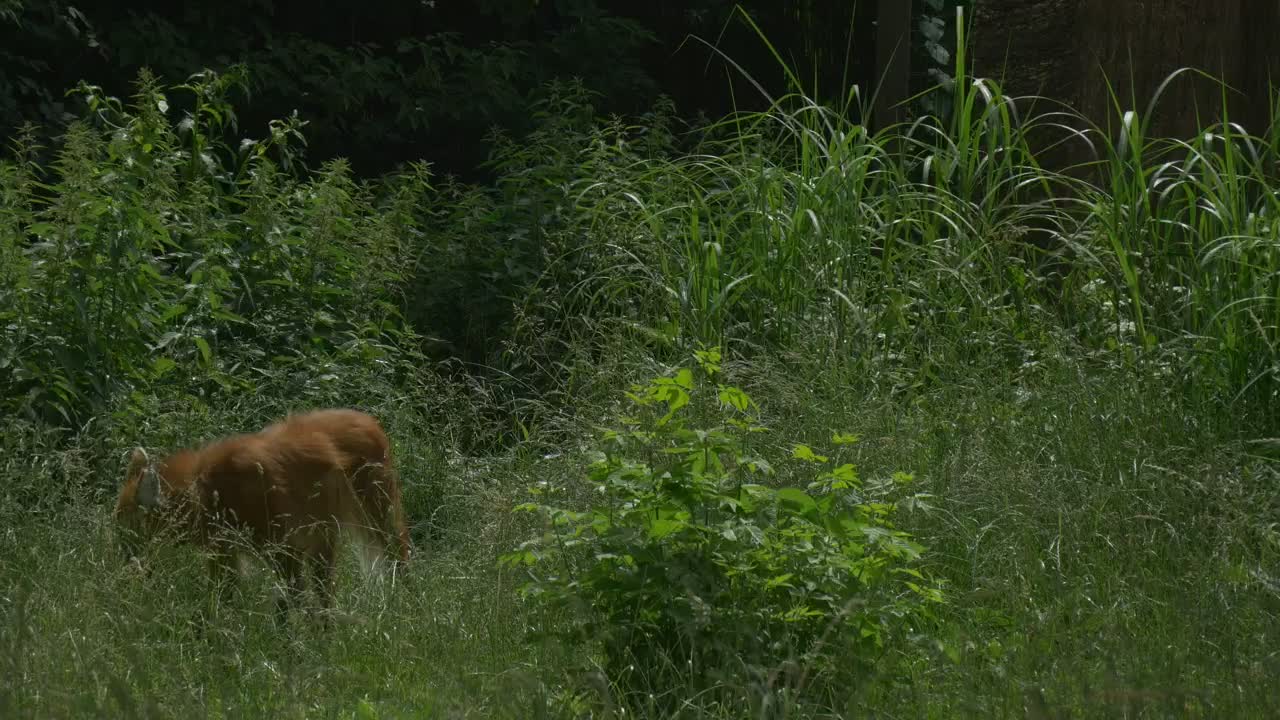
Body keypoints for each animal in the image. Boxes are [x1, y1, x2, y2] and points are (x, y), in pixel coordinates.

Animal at [114, 407, 407, 620]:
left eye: (128, 524)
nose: (122, 556)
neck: (207, 489)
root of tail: (369, 419)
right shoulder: (225, 549)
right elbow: (222, 595)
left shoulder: (282, 545)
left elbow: (292, 597)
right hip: (322, 532)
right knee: (325, 588)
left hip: (375, 514)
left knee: (398, 552)